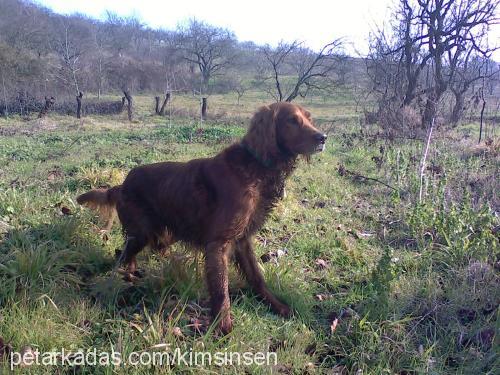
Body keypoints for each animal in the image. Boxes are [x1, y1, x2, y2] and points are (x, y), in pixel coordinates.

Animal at [77, 101, 326, 334]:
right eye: (292, 120)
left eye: (309, 118)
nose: (323, 137)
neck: (256, 166)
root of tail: (122, 185)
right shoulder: (218, 243)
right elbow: (221, 289)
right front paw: (223, 326)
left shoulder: (243, 239)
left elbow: (257, 277)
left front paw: (277, 305)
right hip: (141, 233)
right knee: (123, 256)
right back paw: (128, 276)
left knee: (151, 249)